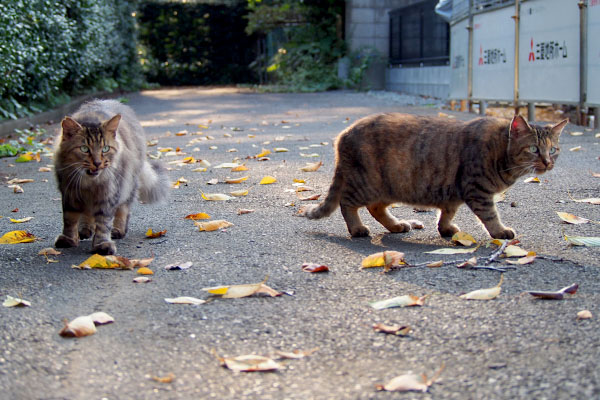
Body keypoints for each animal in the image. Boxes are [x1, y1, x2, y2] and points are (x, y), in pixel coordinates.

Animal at [54, 101, 169, 255]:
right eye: (84, 149)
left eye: (105, 149)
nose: (97, 163)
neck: (89, 184)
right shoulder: (69, 193)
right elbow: (69, 220)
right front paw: (69, 239)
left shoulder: (108, 195)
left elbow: (103, 223)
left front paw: (101, 245)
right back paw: (85, 229)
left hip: (128, 186)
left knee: (123, 210)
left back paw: (117, 230)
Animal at [302, 112, 568, 238]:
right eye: (534, 149)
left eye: (553, 150)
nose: (547, 163)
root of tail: (343, 134)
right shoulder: (477, 190)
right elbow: (490, 216)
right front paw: (500, 232)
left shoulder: (454, 192)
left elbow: (447, 212)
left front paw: (445, 228)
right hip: (367, 183)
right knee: (347, 203)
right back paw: (357, 229)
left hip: (391, 186)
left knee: (375, 208)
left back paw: (397, 225)